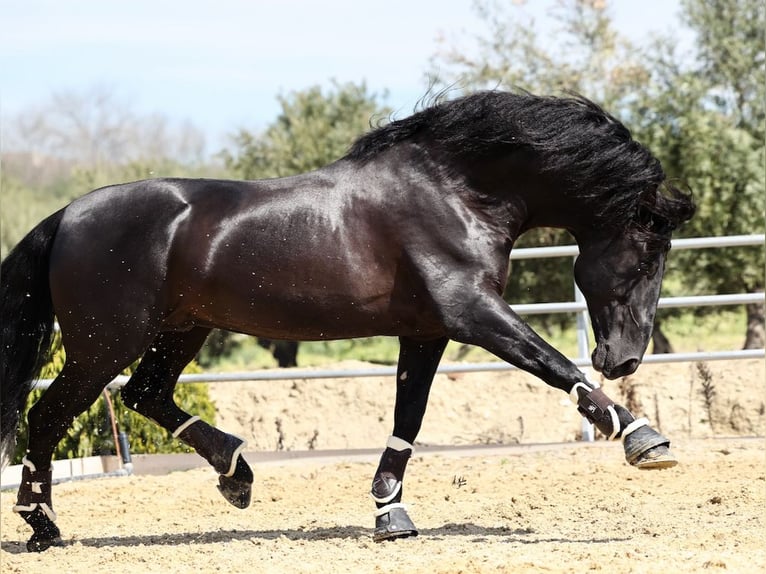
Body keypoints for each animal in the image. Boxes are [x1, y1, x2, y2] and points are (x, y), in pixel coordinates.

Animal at [1, 91, 696, 552]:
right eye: (646, 255)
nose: (625, 358)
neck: (456, 191)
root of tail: (65, 216)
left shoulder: (427, 330)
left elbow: (408, 419)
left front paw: (391, 513)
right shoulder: (473, 313)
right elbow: (552, 364)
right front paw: (645, 440)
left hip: (180, 330)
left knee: (146, 395)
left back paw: (236, 473)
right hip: (105, 344)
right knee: (49, 415)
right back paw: (43, 525)